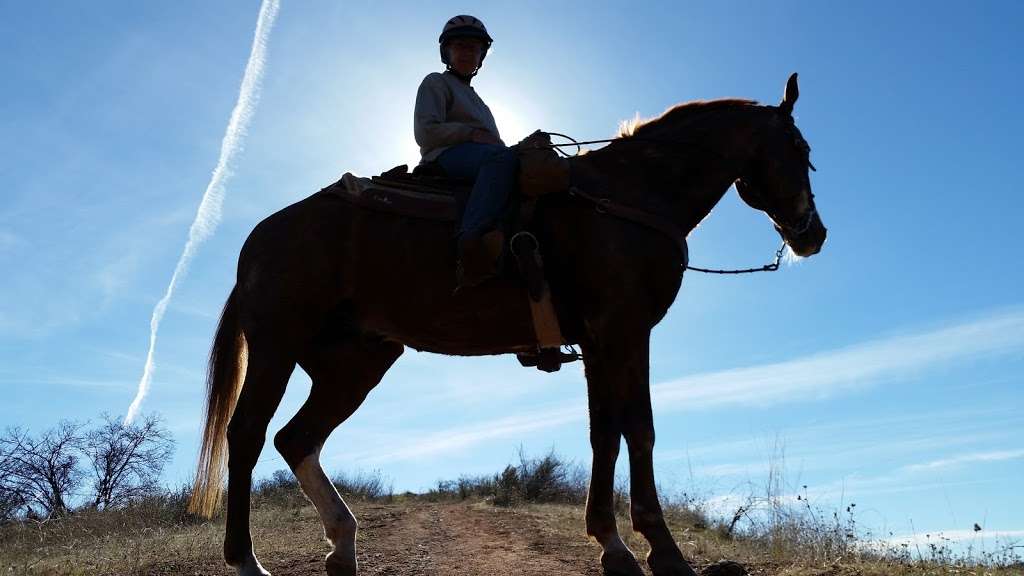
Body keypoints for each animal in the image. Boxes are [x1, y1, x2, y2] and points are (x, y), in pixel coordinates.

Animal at [184, 72, 823, 573]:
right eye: (798, 148)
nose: (812, 233)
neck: (627, 197)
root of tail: (263, 236)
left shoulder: (598, 343)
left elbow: (604, 435)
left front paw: (612, 546)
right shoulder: (625, 331)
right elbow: (638, 430)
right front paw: (664, 552)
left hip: (355, 363)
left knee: (297, 438)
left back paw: (342, 546)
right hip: (278, 346)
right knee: (248, 435)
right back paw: (246, 560)